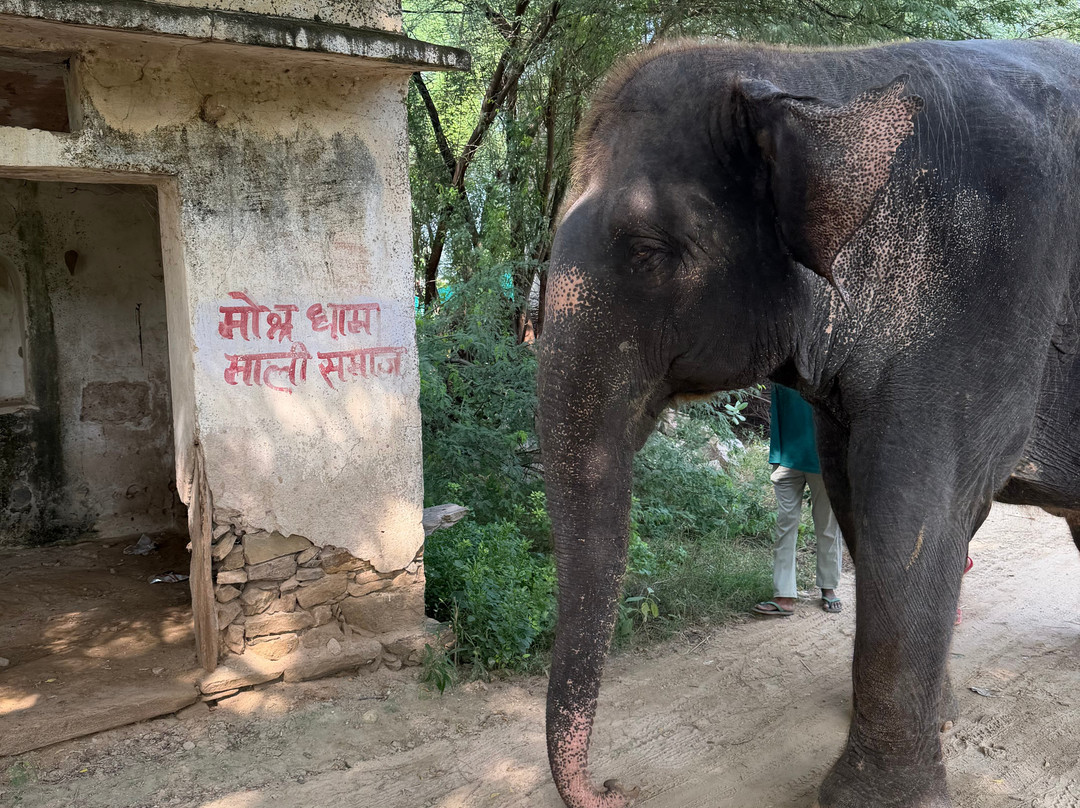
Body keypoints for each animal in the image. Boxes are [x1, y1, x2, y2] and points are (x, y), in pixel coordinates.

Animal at [535, 38, 1080, 808]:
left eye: (646, 250)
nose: (616, 787)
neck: (817, 73)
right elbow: (858, 498)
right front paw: (941, 720)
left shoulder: (991, 284)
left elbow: (910, 513)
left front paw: (873, 799)